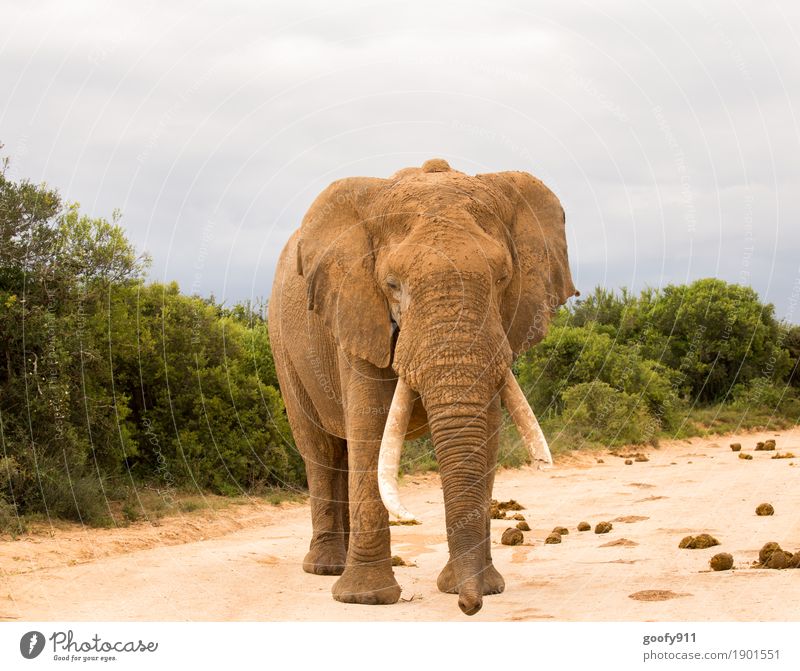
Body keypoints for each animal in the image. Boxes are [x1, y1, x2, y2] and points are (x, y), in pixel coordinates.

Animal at [268, 158, 576, 616]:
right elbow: (370, 424)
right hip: (284, 347)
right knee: (321, 449)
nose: (469, 607)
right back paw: (325, 569)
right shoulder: (357, 307)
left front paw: (481, 588)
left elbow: (486, 428)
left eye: (503, 277)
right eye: (393, 284)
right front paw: (365, 599)